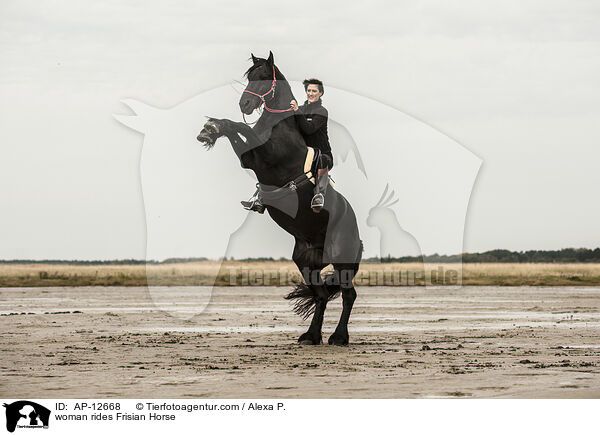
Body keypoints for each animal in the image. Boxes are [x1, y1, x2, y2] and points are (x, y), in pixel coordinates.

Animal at [199, 51, 364, 346]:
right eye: (249, 76)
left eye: (264, 76)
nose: (245, 103)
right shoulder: (248, 159)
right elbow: (238, 129)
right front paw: (211, 129)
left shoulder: (262, 155)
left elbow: (242, 128)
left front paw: (212, 127)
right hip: (306, 262)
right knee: (321, 295)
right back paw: (311, 336)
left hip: (342, 259)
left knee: (348, 295)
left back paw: (339, 337)